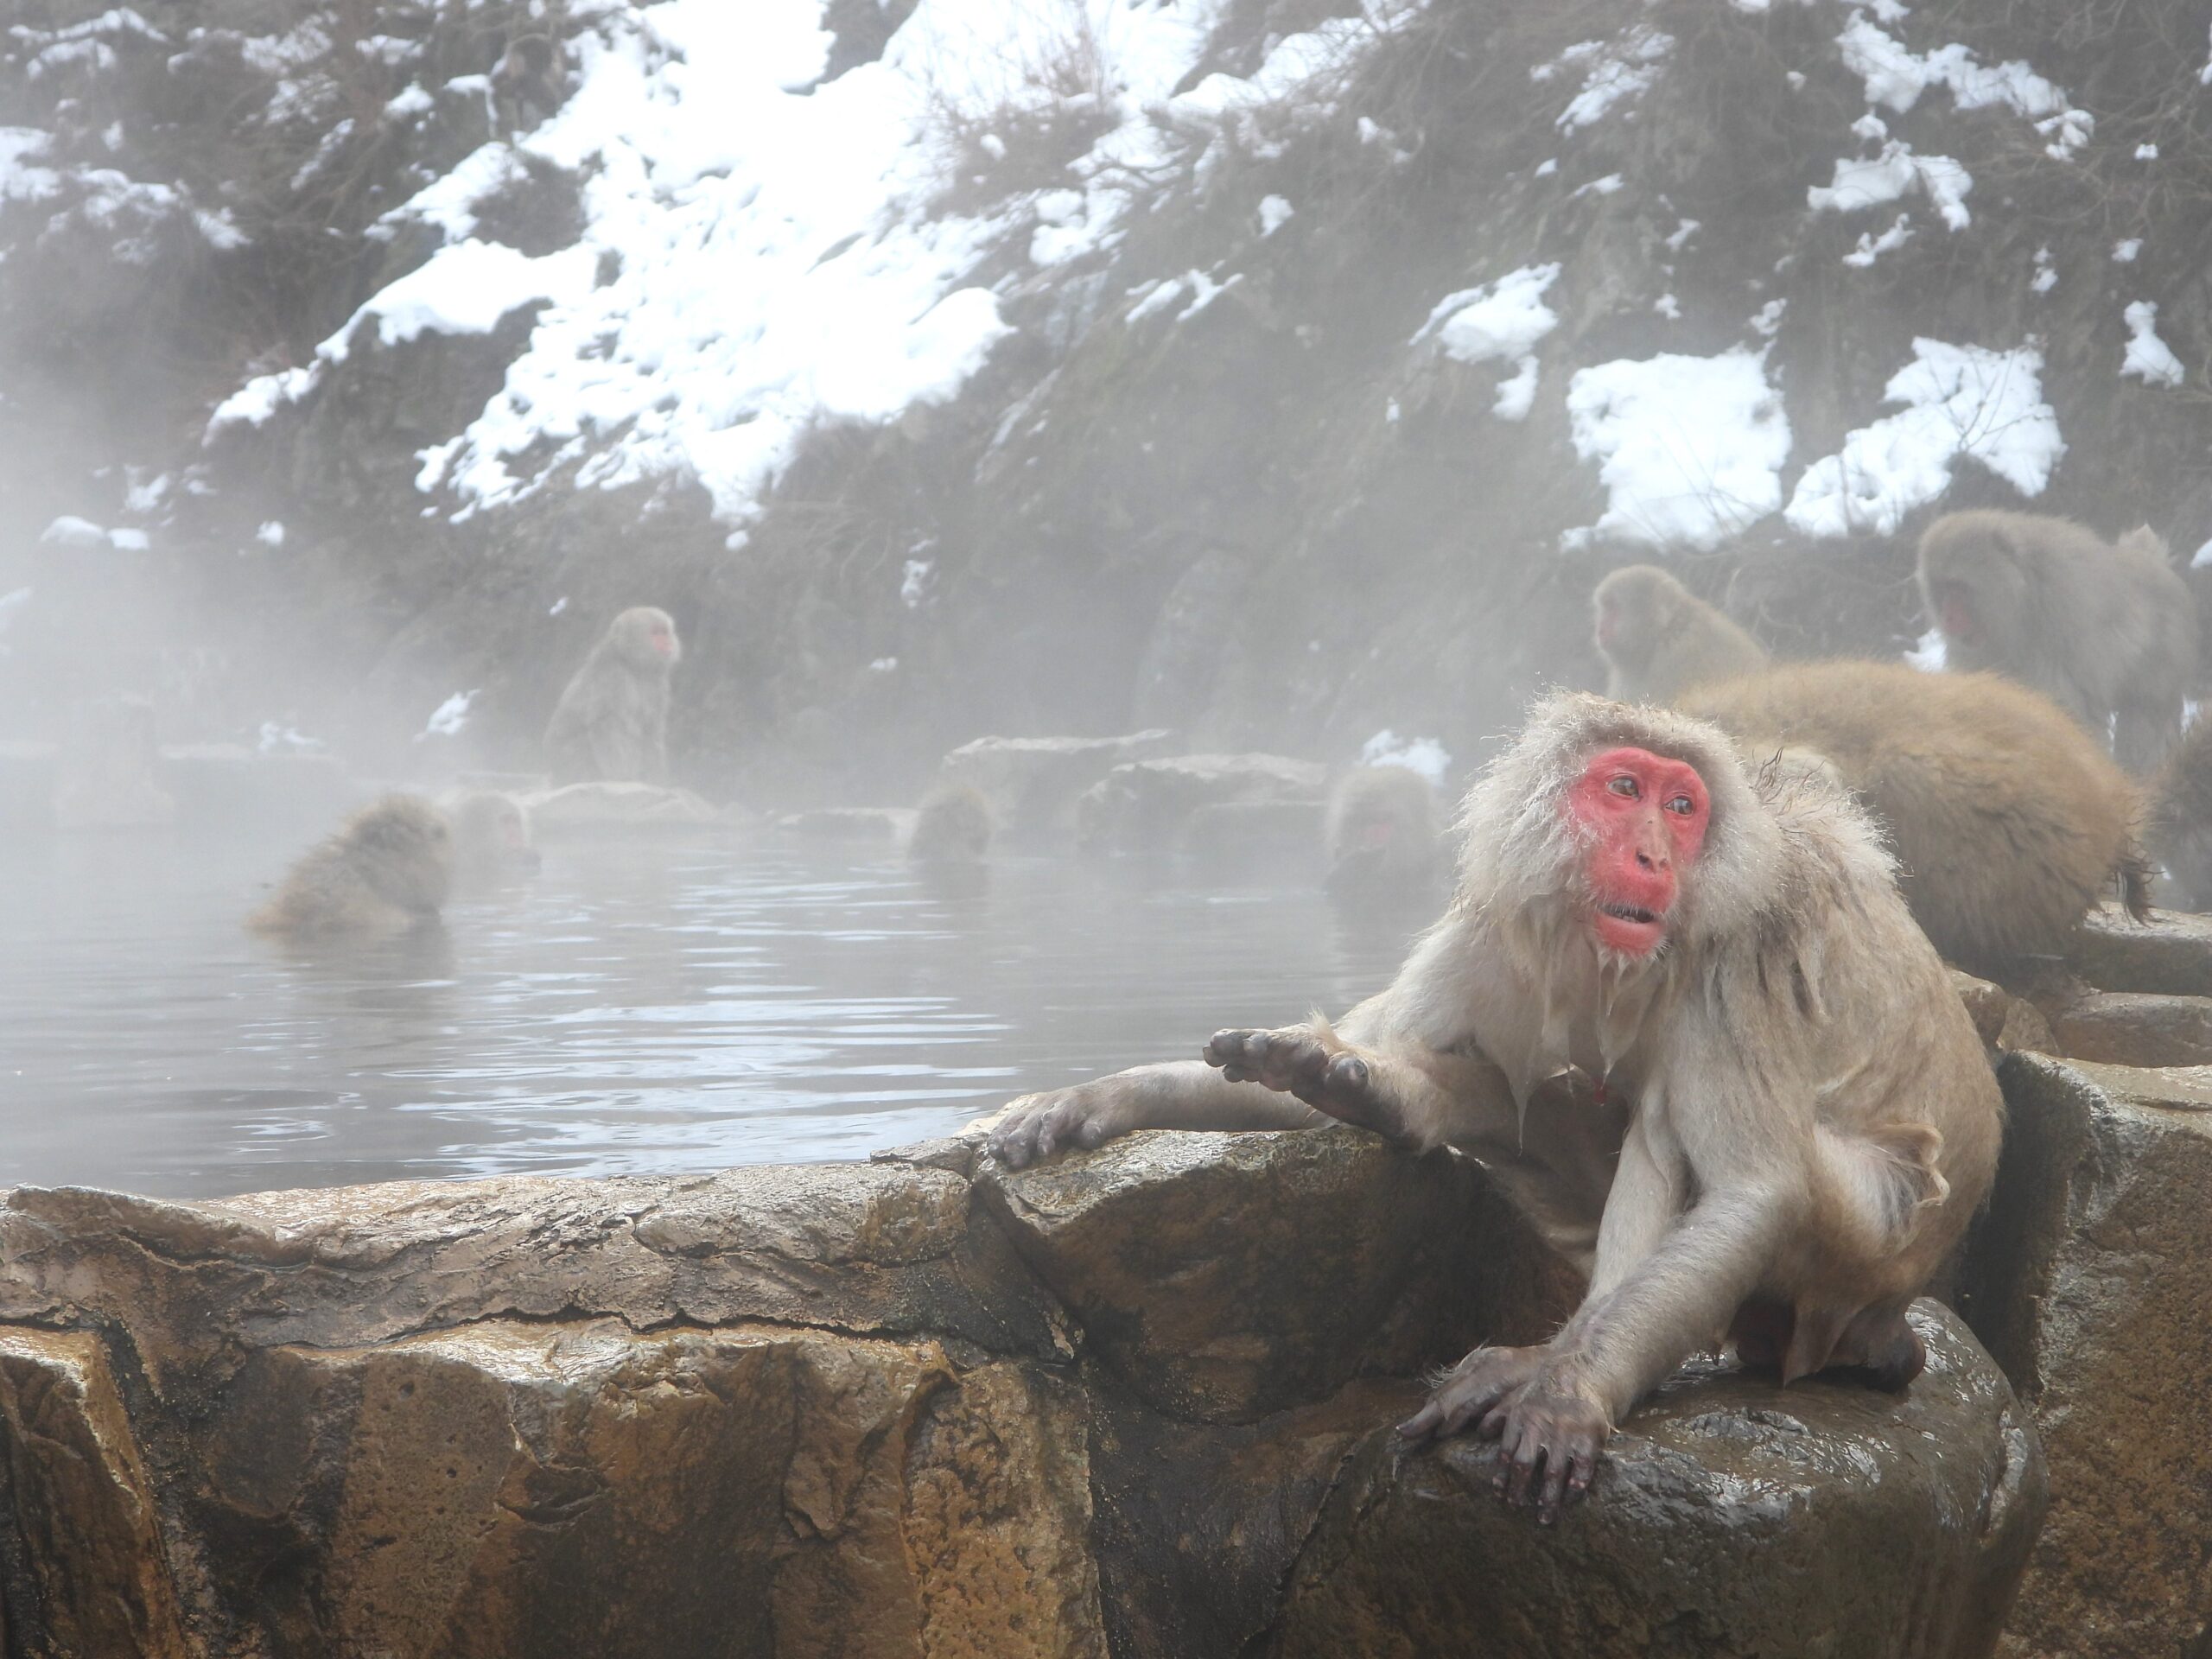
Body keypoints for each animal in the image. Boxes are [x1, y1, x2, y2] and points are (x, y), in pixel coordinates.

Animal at [544, 607, 681, 786]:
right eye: (655, 633)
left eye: (665, 632)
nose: (667, 643)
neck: (633, 665)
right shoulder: (611, 675)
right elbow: (606, 724)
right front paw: (619, 776)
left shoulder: (657, 682)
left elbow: (651, 730)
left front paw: (657, 779)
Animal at [1917, 510, 2197, 773]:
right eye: (1941, 589)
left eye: (1958, 587)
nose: (1949, 617)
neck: (2022, 603)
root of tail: (2151, 561)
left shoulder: (2061, 615)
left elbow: (2069, 708)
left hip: (2164, 658)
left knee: (2144, 715)